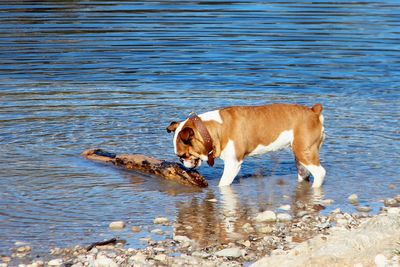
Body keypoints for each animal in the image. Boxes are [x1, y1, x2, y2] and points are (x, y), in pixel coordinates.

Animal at [166, 103, 324, 187]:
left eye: (183, 155)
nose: (182, 163)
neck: (212, 130)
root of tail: (313, 111)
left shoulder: (233, 164)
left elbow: (223, 183)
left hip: (304, 151)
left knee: (320, 173)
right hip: (300, 156)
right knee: (304, 173)